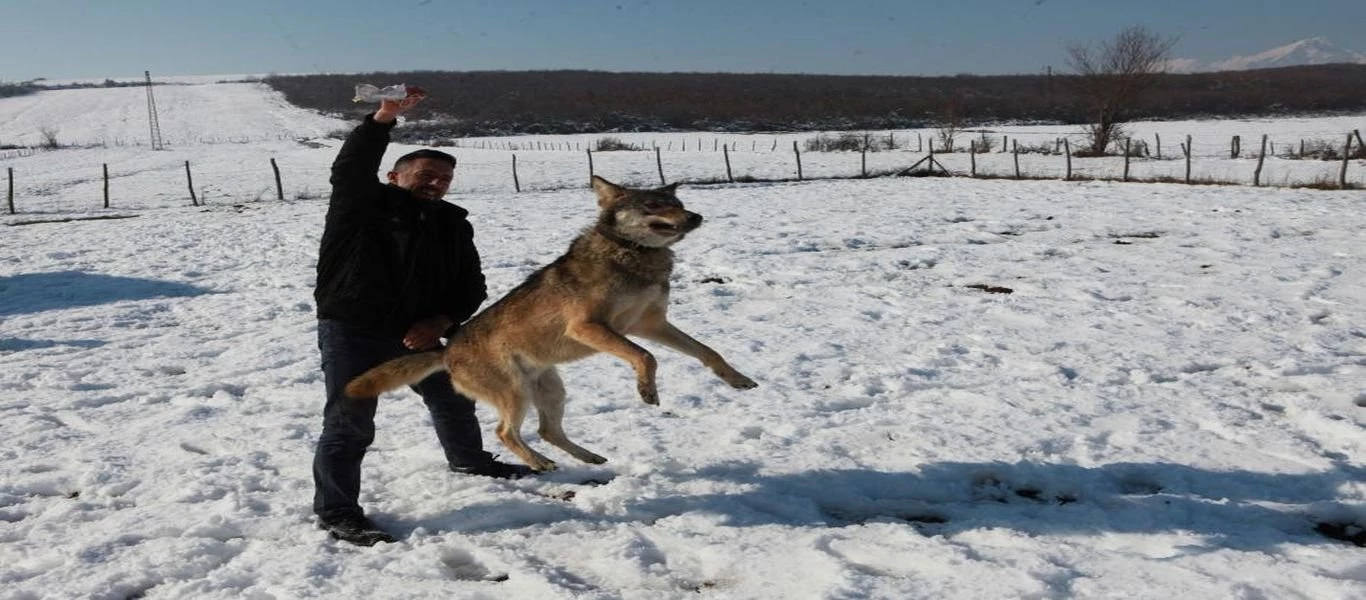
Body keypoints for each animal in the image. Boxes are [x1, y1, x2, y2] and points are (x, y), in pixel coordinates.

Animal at [346, 176, 759, 472]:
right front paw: (647, 391)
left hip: (551, 391)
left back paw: (589, 457)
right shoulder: (590, 327)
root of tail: (447, 352)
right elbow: (646, 357)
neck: (635, 256)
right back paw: (540, 463)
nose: (695, 218)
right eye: (654, 205)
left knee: (546, 430)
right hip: (515, 394)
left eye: (679, 204)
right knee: (505, 432)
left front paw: (737, 379)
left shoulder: (650, 324)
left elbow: (707, 351)